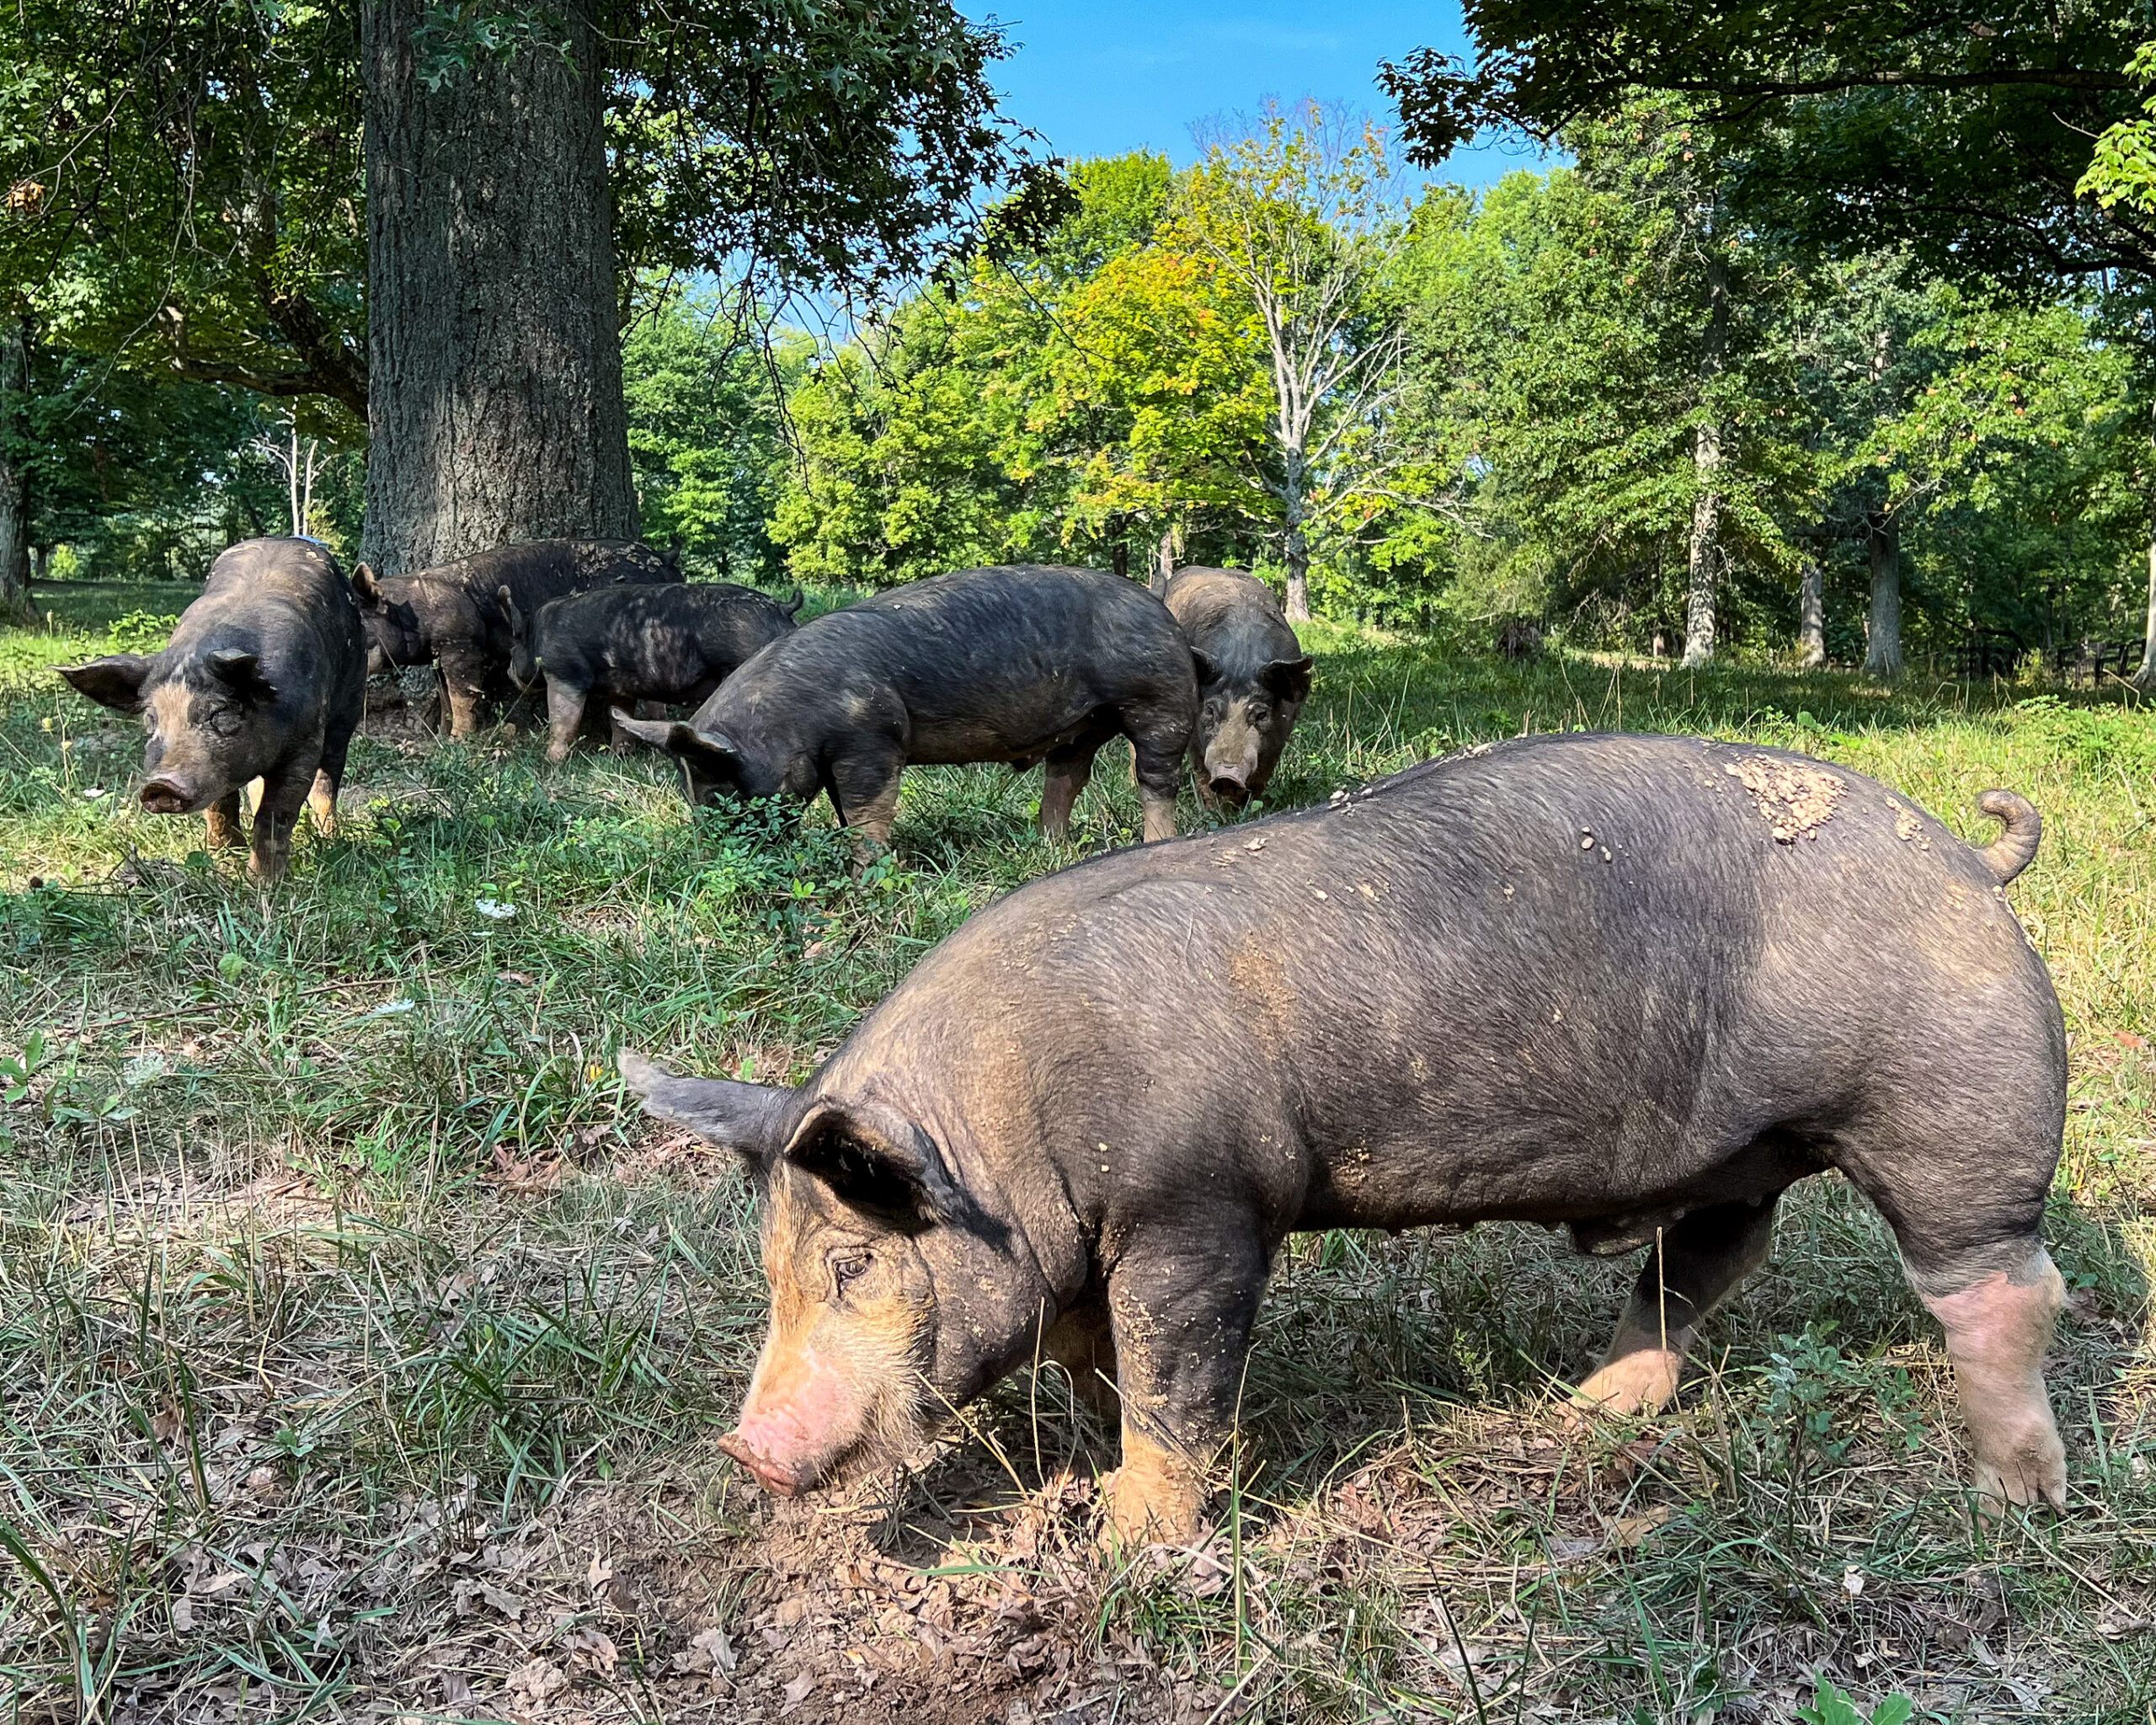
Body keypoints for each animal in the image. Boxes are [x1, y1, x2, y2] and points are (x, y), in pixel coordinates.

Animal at [56, 539, 366, 884]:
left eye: (220, 713)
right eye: (151, 720)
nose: (159, 784)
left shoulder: (305, 742)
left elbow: (277, 814)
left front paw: (261, 884)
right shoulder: (213, 767)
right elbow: (220, 806)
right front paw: (224, 864)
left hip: (348, 708)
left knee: (328, 781)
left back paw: (331, 838)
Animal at [499, 578, 806, 763]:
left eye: (512, 649)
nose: (508, 673)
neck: (537, 634)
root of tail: (781, 608)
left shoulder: (564, 674)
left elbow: (563, 719)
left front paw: (550, 759)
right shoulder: (620, 686)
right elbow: (618, 719)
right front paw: (617, 756)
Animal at [616, 564, 1207, 849]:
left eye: (724, 789)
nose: (724, 855)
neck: (792, 719)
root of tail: (1162, 613)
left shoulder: (873, 739)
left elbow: (866, 815)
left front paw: (867, 881)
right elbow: (842, 813)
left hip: (1160, 699)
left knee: (1156, 777)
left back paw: (1157, 841)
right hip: (1082, 724)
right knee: (1067, 776)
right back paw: (1048, 846)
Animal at [625, 733, 2069, 1543]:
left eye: (855, 1265)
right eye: (772, 1271)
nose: (747, 1450)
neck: (1000, 1145)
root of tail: (1970, 864)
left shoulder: (1197, 1207)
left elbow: (1176, 1375)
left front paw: (1131, 1545)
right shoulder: (1091, 1240)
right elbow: (1099, 1359)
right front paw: (1095, 1468)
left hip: (1958, 1105)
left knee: (2001, 1285)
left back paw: (2018, 1499)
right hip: (1742, 1153)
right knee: (1708, 1262)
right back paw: (1589, 1412)